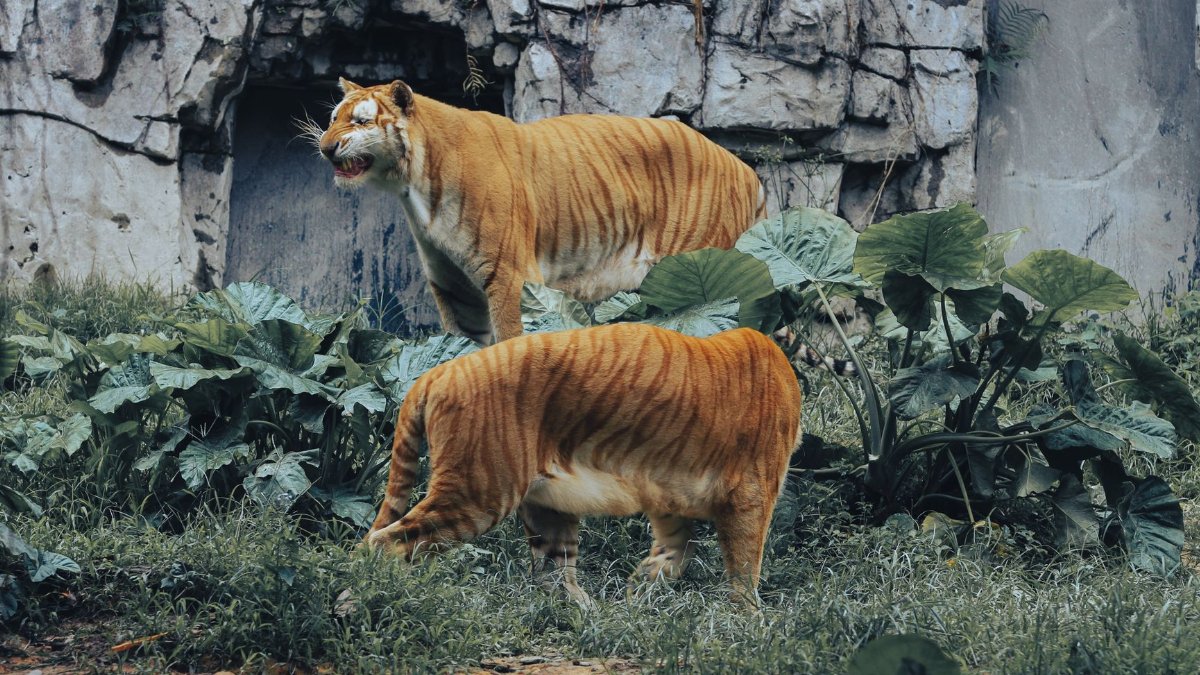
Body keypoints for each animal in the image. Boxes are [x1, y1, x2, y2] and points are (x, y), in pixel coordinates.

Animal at [312, 78, 766, 344]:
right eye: (333, 118)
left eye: (360, 121)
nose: (325, 146)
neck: (416, 187)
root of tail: (748, 173)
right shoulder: (454, 287)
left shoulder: (510, 276)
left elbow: (511, 342)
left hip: (706, 275)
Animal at [364, 323, 803, 607]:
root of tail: (436, 371)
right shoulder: (751, 493)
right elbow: (745, 566)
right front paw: (748, 623)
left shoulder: (667, 498)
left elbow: (677, 552)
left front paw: (640, 588)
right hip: (477, 492)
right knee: (384, 541)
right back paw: (384, 597)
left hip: (546, 507)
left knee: (551, 575)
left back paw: (588, 614)